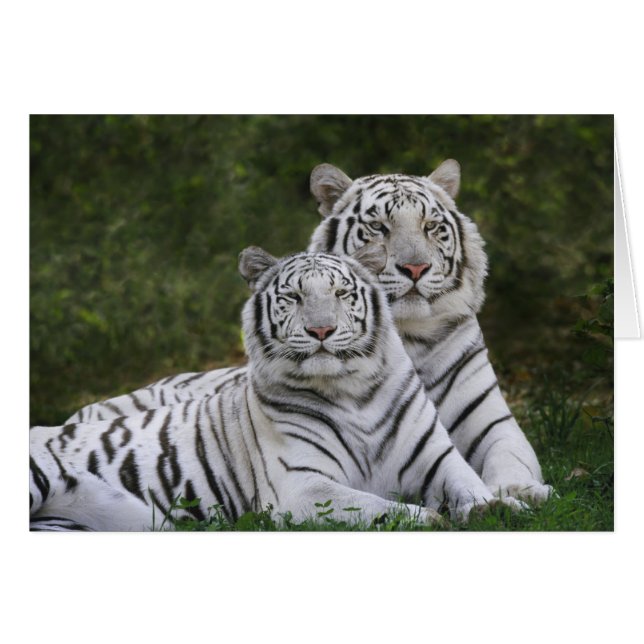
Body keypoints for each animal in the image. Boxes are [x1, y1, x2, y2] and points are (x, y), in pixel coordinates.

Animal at [31, 247, 518, 531]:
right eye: (294, 297)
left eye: (341, 293)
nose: (321, 330)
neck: (354, 392)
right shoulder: (302, 488)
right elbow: (375, 506)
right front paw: (431, 518)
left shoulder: (438, 459)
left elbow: (471, 485)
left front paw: (500, 507)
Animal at [67, 160, 552, 503]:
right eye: (379, 227)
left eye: (431, 227)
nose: (415, 268)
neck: (408, 336)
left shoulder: (493, 423)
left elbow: (511, 458)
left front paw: (523, 492)